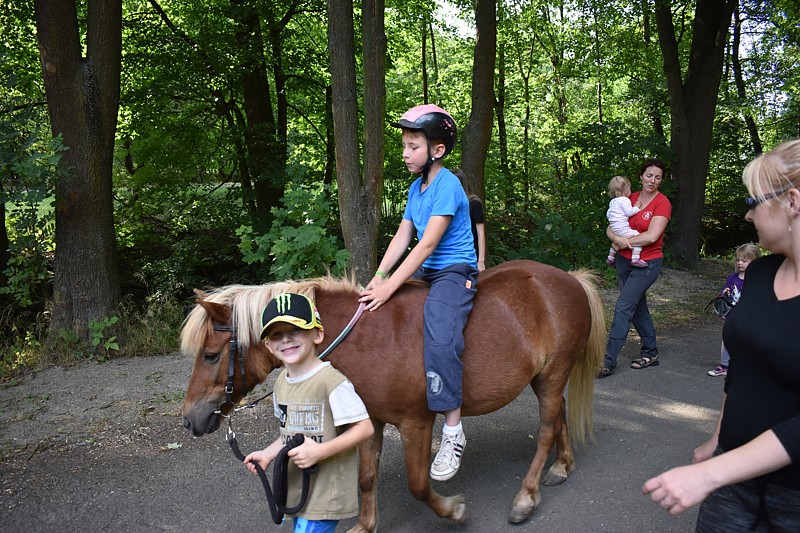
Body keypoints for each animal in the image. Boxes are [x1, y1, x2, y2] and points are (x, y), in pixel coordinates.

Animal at [181, 258, 604, 528]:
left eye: (210, 355)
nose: (190, 419)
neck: (365, 341)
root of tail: (569, 279)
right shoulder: (369, 420)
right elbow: (367, 477)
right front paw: (365, 526)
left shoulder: (416, 423)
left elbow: (418, 485)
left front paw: (453, 511)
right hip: (543, 378)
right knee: (559, 414)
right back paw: (561, 466)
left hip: (552, 374)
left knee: (546, 429)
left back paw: (526, 496)